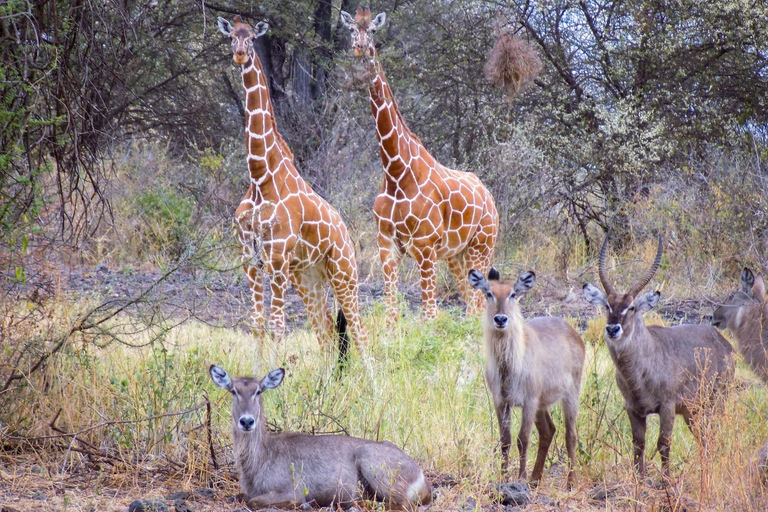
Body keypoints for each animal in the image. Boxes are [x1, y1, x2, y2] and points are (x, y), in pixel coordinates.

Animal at [208, 366, 432, 510]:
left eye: (258, 391)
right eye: (234, 391)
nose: (247, 421)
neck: (260, 459)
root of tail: (422, 477)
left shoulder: (291, 490)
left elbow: (253, 501)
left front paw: (305, 505)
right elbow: (242, 496)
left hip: (373, 464)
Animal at [218, 15, 368, 352]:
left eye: (251, 38)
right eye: (231, 36)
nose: (239, 54)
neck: (261, 176)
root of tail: (346, 232)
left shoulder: (277, 257)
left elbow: (277, 326)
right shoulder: (249, 257)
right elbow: (257, 324)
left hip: (344, 271)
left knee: (359, 330)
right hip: (308, 276)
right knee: (326, 332)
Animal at [340, 7, 498, 320]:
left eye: (372, 31)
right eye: (352, 30)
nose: (360, 49)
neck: (396, 172)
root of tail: (489, 197)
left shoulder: (425, 248)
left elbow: (428, 316)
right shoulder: (387, 246)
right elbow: (391, 313)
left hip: (482, 247)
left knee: (477, 307)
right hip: (456, 255)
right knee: (470, 306)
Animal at [464, 268, 584, 488]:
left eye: (513, 294)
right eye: (489, 293)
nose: (500, 319)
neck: (510, 367)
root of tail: (572, 331)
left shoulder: (529, 401)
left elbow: (523, 439)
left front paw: (520, 478)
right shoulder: (501, 401)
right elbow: (505, 440)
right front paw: (504, 478)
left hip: (570, 394)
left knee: (570, 434)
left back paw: (571, 481)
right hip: (542, 404)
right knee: (548, 431)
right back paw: (535, 479)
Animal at [584, 235, 736, 476]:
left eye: (632, 307)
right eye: (607, 304)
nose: (612, 329)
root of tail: (724, 342)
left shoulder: (667, 406)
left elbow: (664, 444)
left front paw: (666, 481)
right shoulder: (633, 408)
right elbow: (638, 444)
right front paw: (640, 479)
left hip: (716, 402)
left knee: (714, 434)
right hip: (693, 411)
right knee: (703, 437)